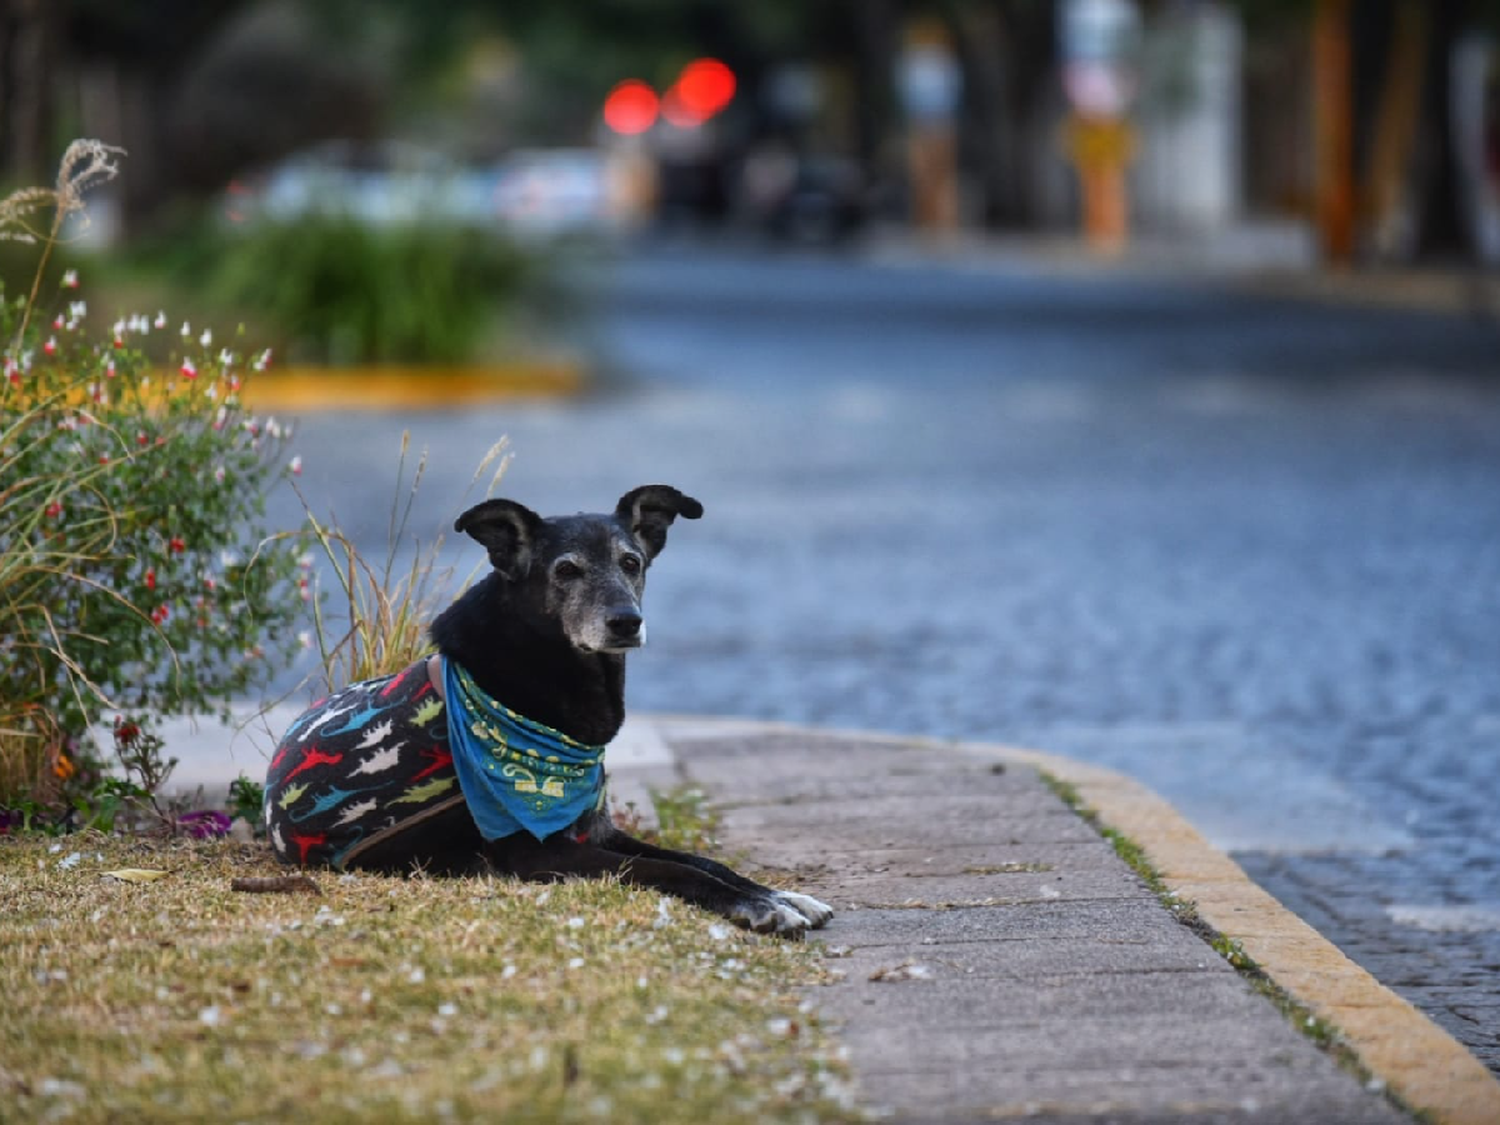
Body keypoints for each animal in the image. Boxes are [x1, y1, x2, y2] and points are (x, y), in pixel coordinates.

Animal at [270, 489, 834, 936]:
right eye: (566, 570)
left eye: (631, 563)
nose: (626, 621)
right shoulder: (538, 852)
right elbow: (676, 871)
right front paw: (759, 907)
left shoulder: (594, 829)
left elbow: (703, 859)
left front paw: (782, 896)